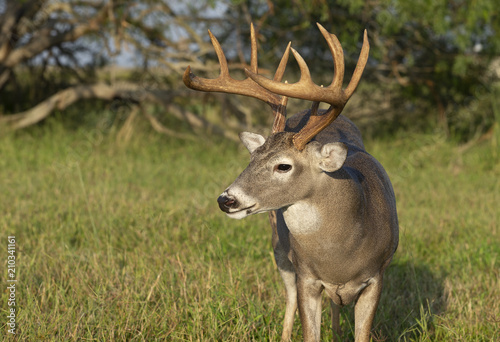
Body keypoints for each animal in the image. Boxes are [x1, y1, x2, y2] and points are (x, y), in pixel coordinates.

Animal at [184, 22, 398, 340]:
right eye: (252, 157)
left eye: (283, 166)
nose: (226, 200)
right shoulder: (306, 276)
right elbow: (309, 329)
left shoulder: (377, 276)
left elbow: (362, 333)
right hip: (279, 249)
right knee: (290, 299)